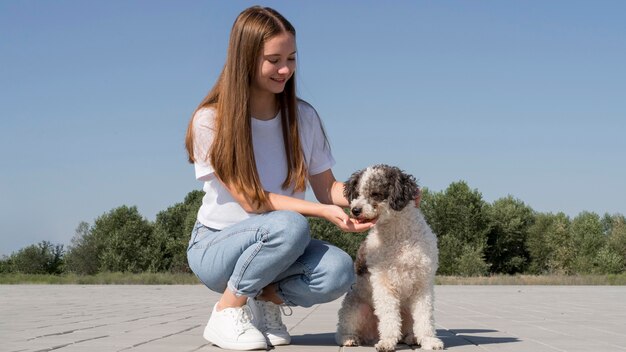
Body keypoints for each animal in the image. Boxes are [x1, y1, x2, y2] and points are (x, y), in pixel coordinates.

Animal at [334, 166, 442, 352]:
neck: (399, 237)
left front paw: (429, 340)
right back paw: (350, 338)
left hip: (406, 311)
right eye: (357, 193)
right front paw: (387, 342)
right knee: (343, 330)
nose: (355, 210)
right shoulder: (384, 285)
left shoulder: (423, 284)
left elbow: (425, 317)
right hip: (356, 308)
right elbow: (389, 317)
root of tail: (372, 334)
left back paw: (412, 337)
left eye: (376, 194)